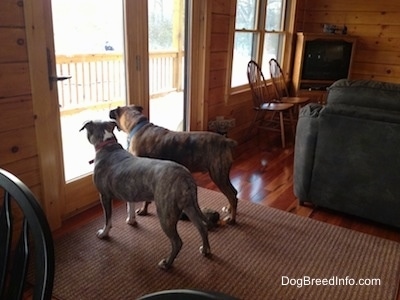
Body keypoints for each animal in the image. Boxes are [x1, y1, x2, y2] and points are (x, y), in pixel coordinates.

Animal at [80, 120, 212, 270]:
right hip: (189, 206)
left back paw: (167, 263)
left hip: (166, 214)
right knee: (202, 227)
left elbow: (107, 219)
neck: (107, 145)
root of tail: (185, 176)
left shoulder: (104, 196)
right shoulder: (129, 192)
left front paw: (103, 233)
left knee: (177, 242)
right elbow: (130, 208)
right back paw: (205, 249)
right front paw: (131, 220)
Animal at [109, 105, 239, 225]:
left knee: (232, 195)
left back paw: (232, 219)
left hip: (218, 175)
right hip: (222, 176)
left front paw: (143, 210)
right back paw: (229, 209)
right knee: (234, 192)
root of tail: (226, 141)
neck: (137, 125)